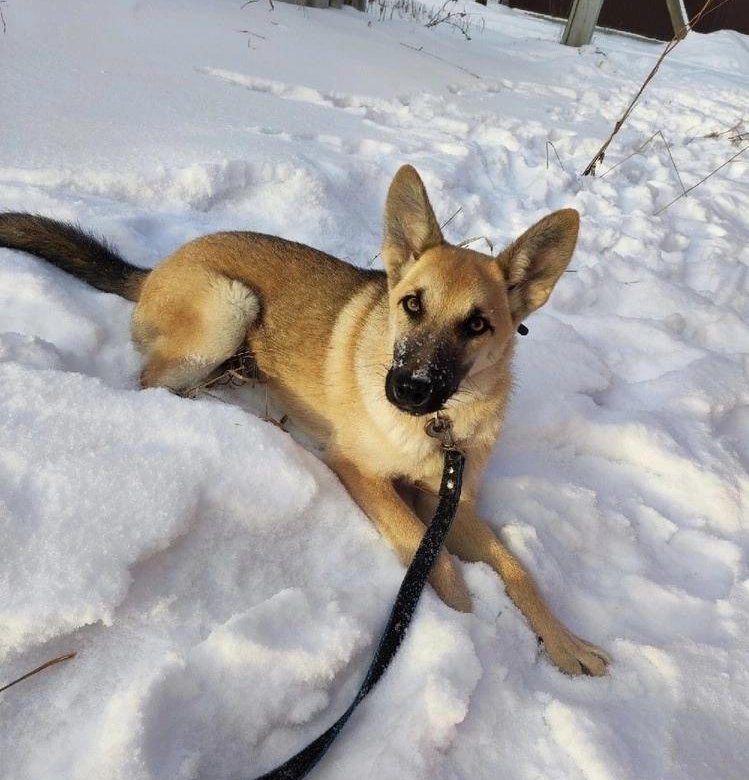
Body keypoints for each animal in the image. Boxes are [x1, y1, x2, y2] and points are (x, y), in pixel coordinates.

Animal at [0, 166, 608, 676]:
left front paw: (565, 642)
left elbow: (516, 567)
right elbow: (429, 555)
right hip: (230, 308)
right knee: (152, 385)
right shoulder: (360, 472)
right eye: (412, 304)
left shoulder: (450, 499)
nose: (407, 390)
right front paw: (463, 619)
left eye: (478, 324)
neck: (438, 426)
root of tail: (159, 266)